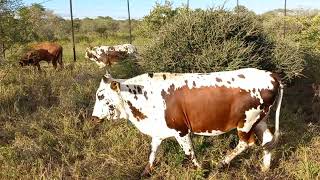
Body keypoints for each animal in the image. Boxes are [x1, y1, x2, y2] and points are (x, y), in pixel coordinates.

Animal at [91, 67, 284, 176]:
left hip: (246, 122)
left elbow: (190, 154)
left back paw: (221, 163)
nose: (93, 117)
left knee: (247, 143)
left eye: (100, 96)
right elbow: (152, 153)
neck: (146, 94)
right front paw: (146, 172)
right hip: (260, 120)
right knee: (267, 140)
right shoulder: (158, 132)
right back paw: (265, 168)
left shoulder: (181, 131)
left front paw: (202, 172)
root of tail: (272, 75)